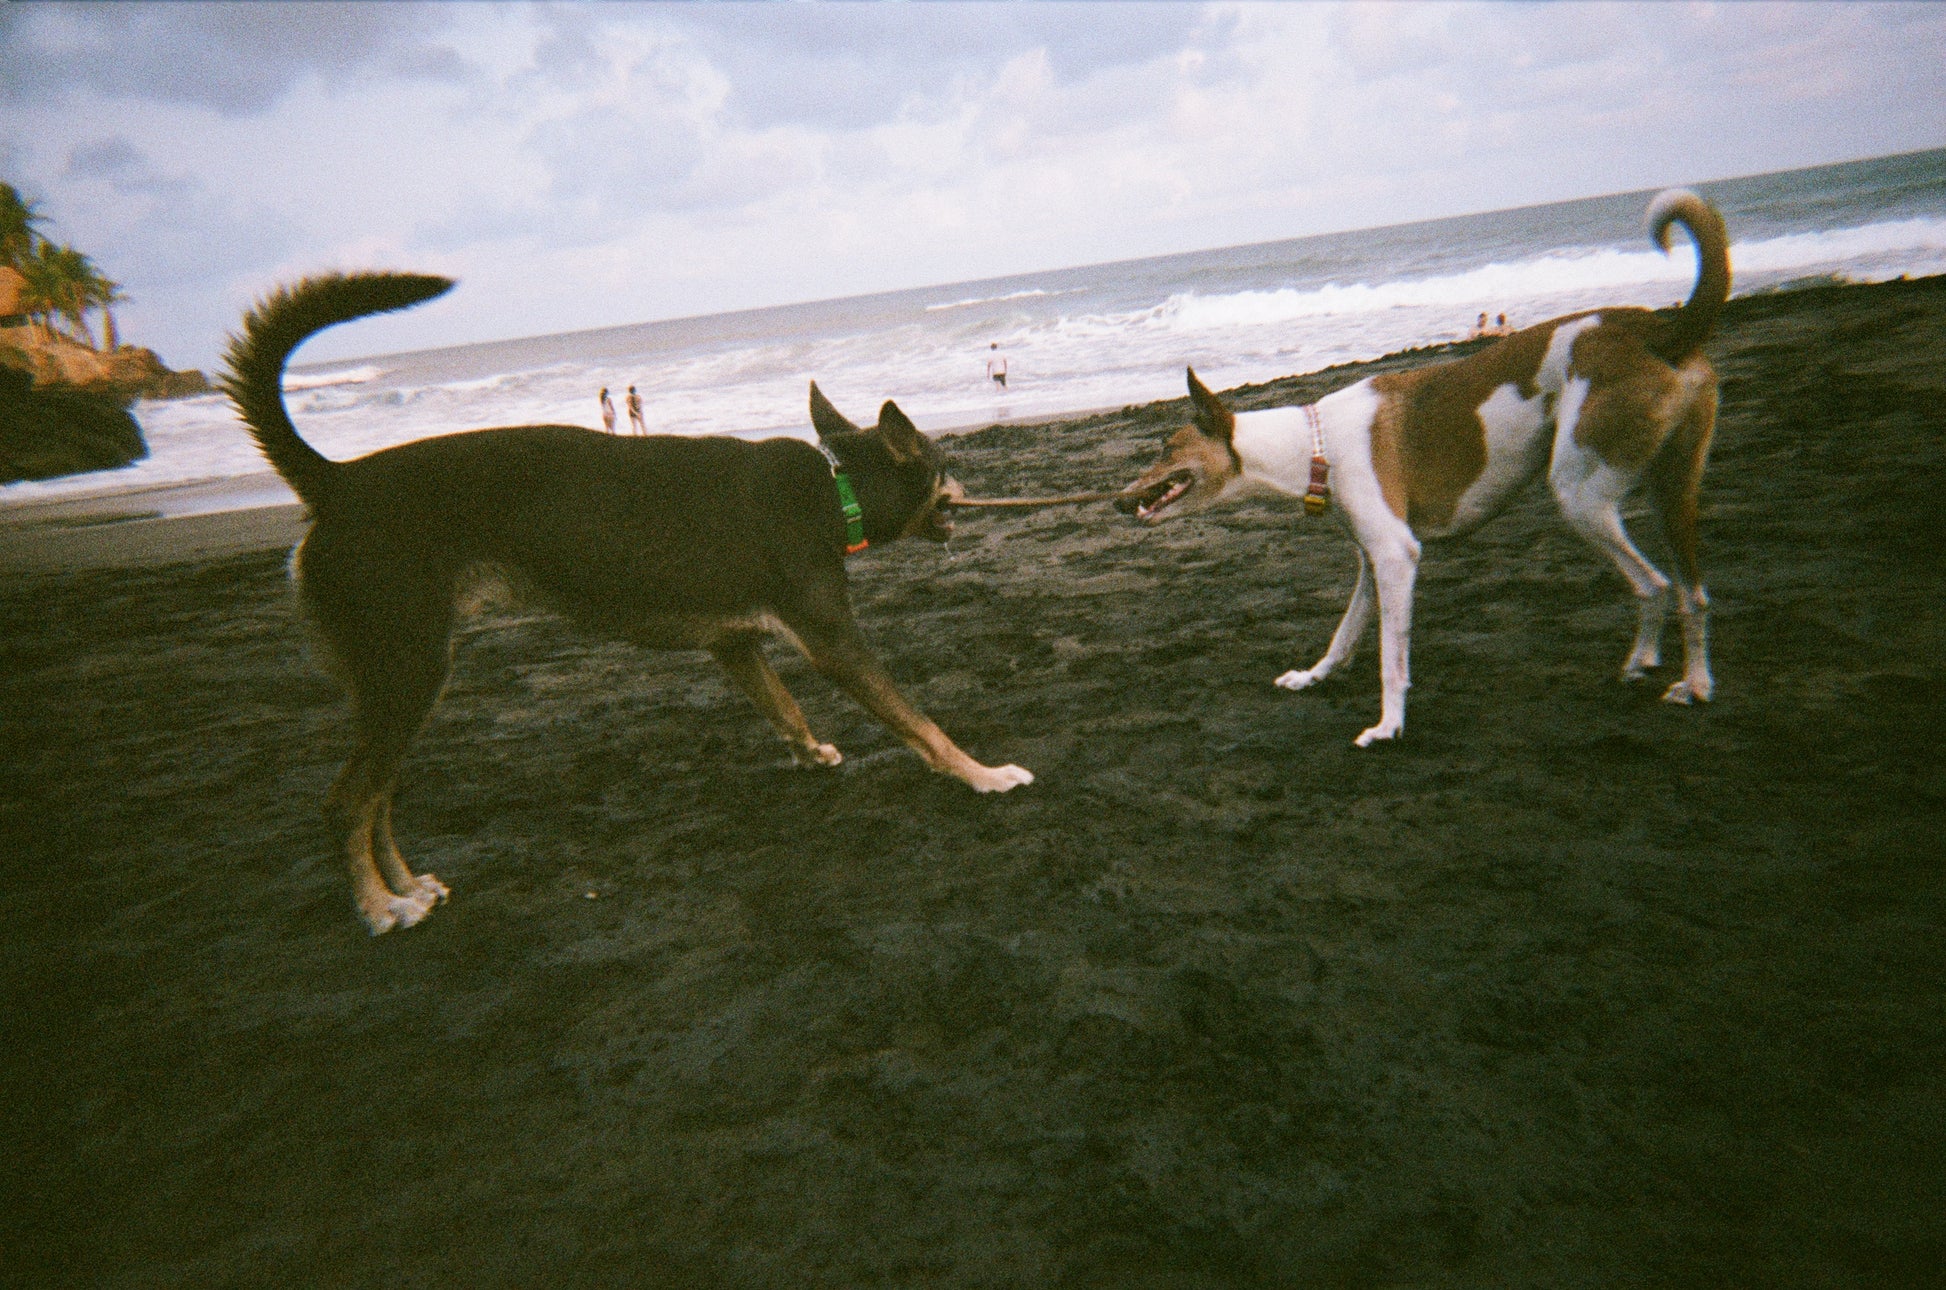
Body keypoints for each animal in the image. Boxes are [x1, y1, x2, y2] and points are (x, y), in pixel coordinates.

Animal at [223, 272, 1035, 937]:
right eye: (943, 465)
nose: (965, 486)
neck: (837, 487)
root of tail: (336, 481)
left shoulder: (735, 644)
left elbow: (784, 707)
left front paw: (810, 753)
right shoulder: (832, 641)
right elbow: (920, 724)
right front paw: (984, 775)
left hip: (404, 680)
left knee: (378, 796)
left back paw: (406, 886)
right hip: (408, 669)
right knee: (346, 802)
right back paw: (379, 906)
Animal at [1120, 186, 1728, 743]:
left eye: (1166, 449)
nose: (1119, 500)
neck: (1314, 441)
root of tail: (1659, 330)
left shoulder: (1397, 555)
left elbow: (1391, 659)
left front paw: (1388, 725)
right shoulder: (1372, 560)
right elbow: (1344, 634)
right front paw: (1313, 676)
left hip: (1580, 496)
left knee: (1653, 584)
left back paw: (1660, 671)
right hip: (1671, 490)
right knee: (1692, 593)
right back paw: (1691, 682)